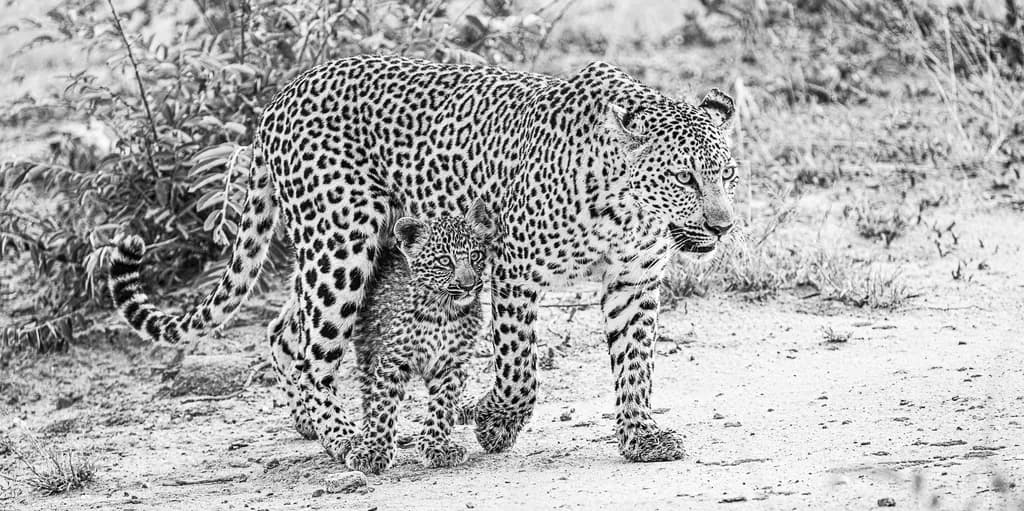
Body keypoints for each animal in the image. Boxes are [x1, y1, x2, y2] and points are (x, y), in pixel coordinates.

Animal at [343, 198, 495, 474]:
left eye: (475, 256)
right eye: (445, 261)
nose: (468, 285)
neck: (443, 313)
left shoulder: (452, 364)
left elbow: (443, 405)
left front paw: (437, 446)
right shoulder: (392, 361)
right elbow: (383, 406)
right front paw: (374, 451)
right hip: (367, 347)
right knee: (369, 394)